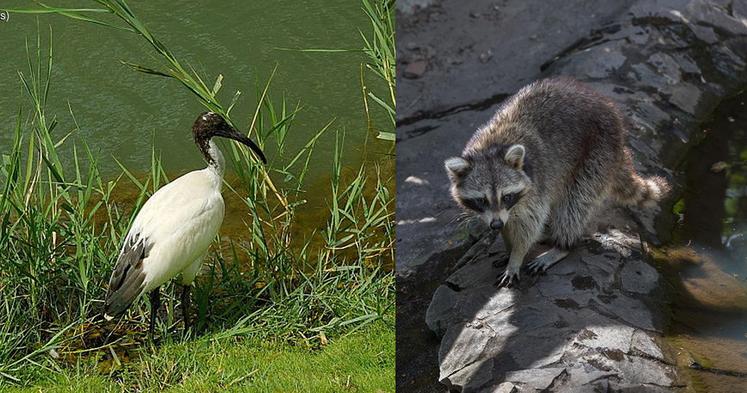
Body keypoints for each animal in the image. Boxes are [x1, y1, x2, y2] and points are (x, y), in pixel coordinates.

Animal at [444, 76, 668, 286]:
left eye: (506, 196)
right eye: (481, 200)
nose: (496, 224)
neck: (491, 148)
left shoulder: (536, 184)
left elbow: (529, 223)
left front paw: (516, 256)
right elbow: (510, 223)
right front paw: (508, 244)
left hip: (598, 153)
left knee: (574, 204)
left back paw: (563, 245)